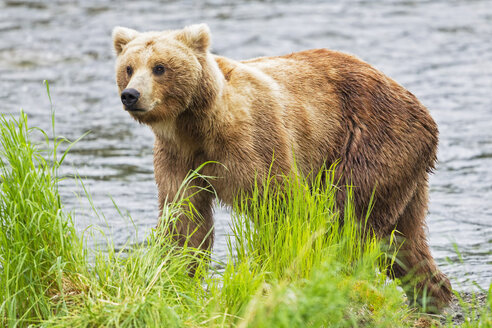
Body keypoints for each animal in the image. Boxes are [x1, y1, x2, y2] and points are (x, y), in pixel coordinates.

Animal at [113, 23, 452, 312]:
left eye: (160, 67)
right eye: (128, 68)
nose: (131, 95)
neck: (198, 125)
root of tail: (419, 108)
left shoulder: (254, 143)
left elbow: (281, 208)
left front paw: (272, 272)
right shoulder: (179, 159)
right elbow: (185, 220)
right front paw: (174, 276)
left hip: (372, 142)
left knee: (351, 218)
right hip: (404, 170)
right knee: (406, 240)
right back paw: (435, 294)